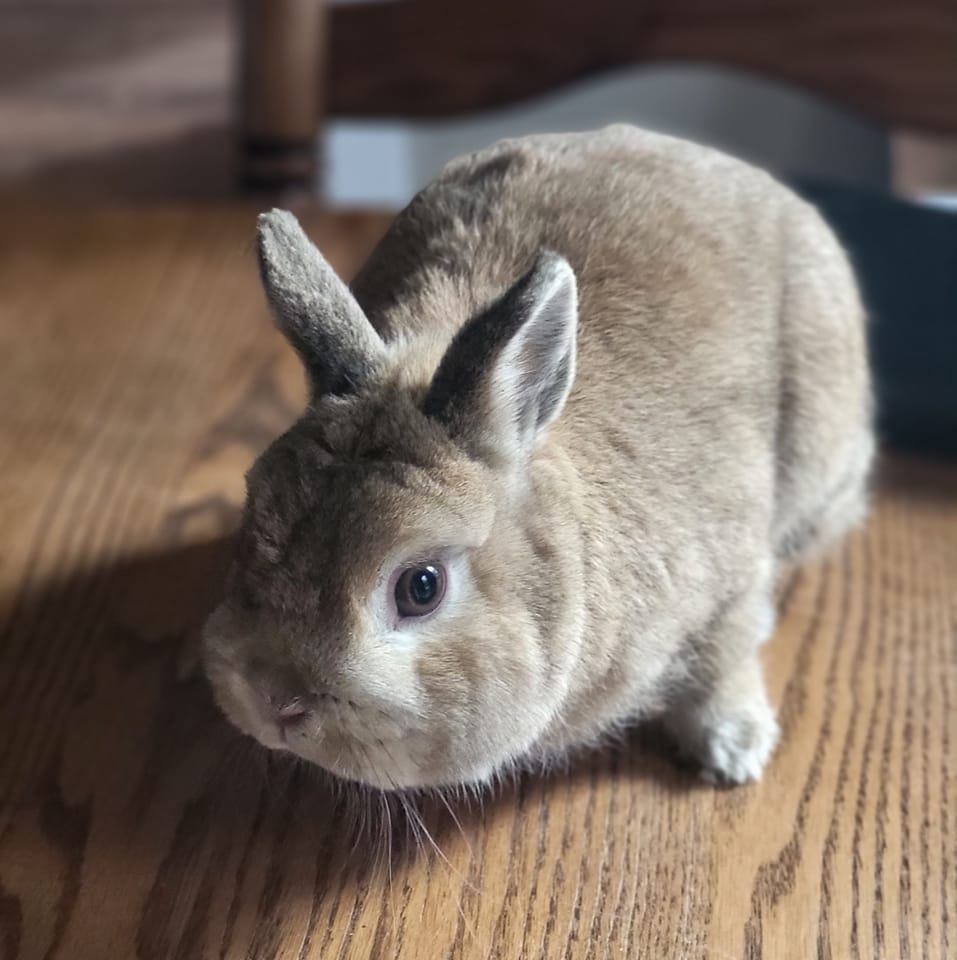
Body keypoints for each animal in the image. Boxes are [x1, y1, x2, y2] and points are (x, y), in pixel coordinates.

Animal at [202, 124, 873, 791]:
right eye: (255, 526)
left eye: (421, 587)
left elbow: (726, 656)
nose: (275, 701)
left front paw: (732, 751)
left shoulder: (733, 579)